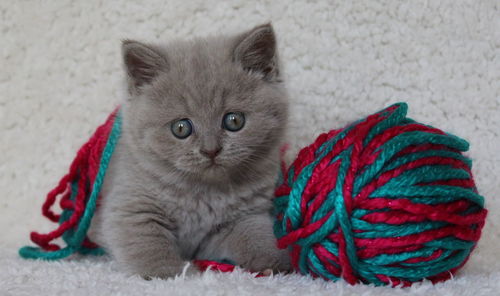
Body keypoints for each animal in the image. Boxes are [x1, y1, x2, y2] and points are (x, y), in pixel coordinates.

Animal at [90, 23, 292, 280]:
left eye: (234, 121)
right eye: (181, 128)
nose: (211, 150)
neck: (203, 192)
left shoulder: (241, 216)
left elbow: (254, 233)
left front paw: (274, 261)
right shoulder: (131, 206)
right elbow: (147, 244)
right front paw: (169, 273)